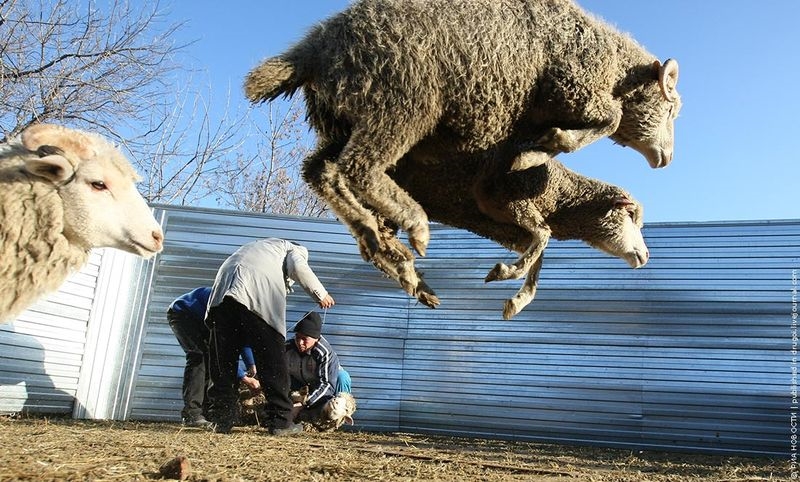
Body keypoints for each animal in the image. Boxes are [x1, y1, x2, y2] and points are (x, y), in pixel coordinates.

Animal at [245, 0, 680, 298]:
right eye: (672, 107)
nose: (666, 159)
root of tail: (312, 50)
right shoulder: (573, 88)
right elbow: (609, 119)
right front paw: (542, 149)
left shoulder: (499, 217)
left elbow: (538, 249)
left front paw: (516, 293)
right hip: (404, 99)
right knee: (356, 167)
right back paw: (414, 228)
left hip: (345, 120)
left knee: (321, 173)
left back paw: (391, 253)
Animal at [388, 145, 648, 318]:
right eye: (630, 215)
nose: (646, 256)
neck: (561, 197)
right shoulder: (508, 196)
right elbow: (543, 234)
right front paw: (505, 272)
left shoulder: (494, 222)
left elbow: (538, 255)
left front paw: (518, 301)